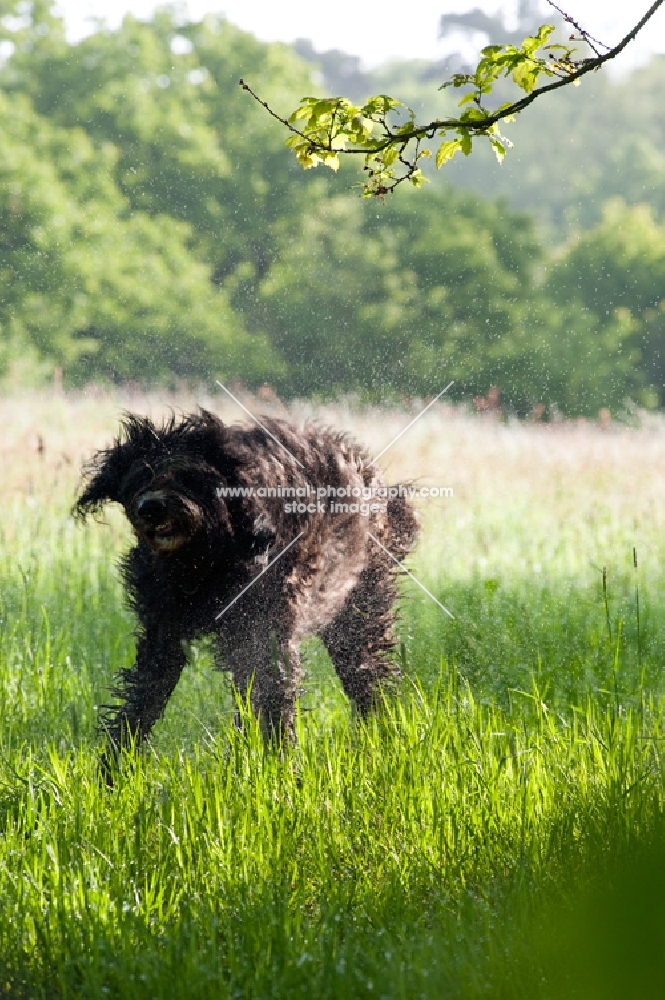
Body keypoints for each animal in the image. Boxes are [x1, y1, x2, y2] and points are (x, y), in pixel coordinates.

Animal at [75, 410, 418, 752]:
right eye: (138, 479)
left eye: (189, 477)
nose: (151, 507)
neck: (203, 560)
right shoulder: (164, 634)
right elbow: (143, 698)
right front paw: (117, 758)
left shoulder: (267, 631)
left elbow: (274, 695)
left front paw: (281, 758)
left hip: (360, 615)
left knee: (368, 676)